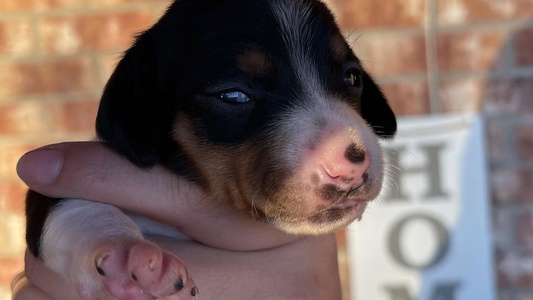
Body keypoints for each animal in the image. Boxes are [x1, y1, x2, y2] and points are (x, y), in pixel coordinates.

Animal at [27, 0, 396, 298]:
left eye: (352, 78)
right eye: (233, 95)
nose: (353, 164)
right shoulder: (53, 194)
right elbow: (76, 209)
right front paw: (127, 252)